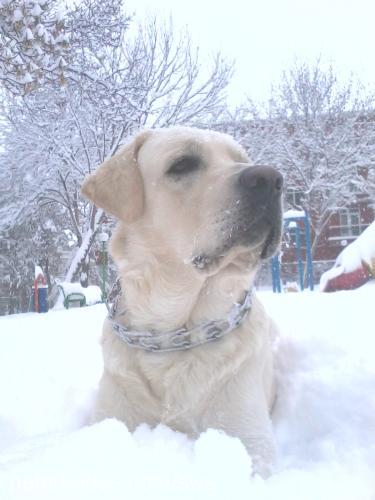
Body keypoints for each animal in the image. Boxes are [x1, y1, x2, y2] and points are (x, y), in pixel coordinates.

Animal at [81, 126, 282, 476]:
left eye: (242, 159)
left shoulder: (251, 446)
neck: (172, 333)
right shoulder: (110, 420)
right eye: (183, 164)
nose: (271, 178)